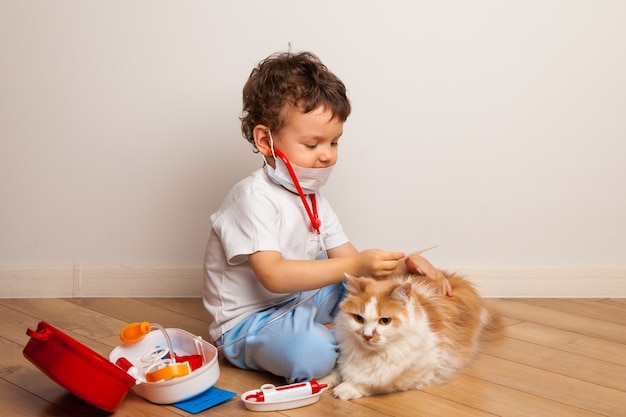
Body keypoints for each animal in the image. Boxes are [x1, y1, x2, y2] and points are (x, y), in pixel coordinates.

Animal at [320, 272, 500, 398]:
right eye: (358, 318)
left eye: (384, 321)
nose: (367, 336)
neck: (372, 355)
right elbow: (336, 370)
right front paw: (321, 381)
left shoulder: (422, 371)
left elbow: (376, 382)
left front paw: (346, 388)